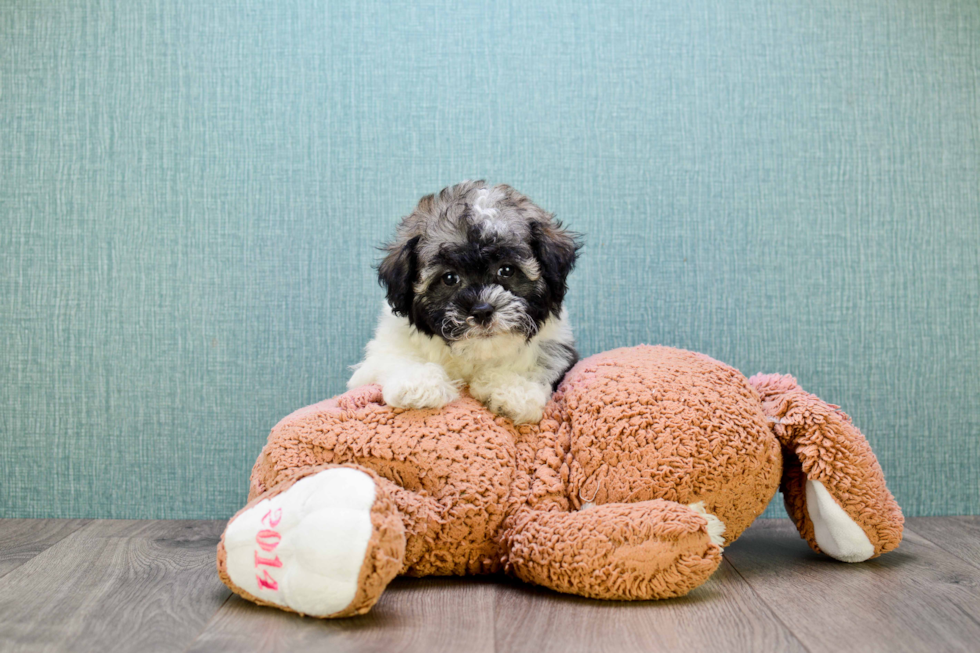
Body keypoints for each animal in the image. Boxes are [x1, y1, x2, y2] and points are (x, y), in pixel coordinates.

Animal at [348, 180, 580, 422]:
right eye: (450, 278)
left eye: (507, 270)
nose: (482, 310)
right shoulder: (387, 346)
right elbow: (397, 356)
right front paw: (419, 383)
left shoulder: (555, 346)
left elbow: (539, 362)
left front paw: (513, 390)